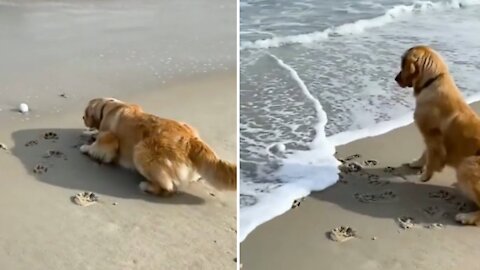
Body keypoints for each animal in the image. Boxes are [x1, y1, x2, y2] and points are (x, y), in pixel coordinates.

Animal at [396, 44, 480, 226]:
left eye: (403, 64)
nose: (395, 78)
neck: (432, 81)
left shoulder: (431, 135)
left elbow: (430, 156)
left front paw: (425, 176)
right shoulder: (430, 136)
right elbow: (425, 153)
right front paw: (417, 164)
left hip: (466, 166)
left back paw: (466, 217)